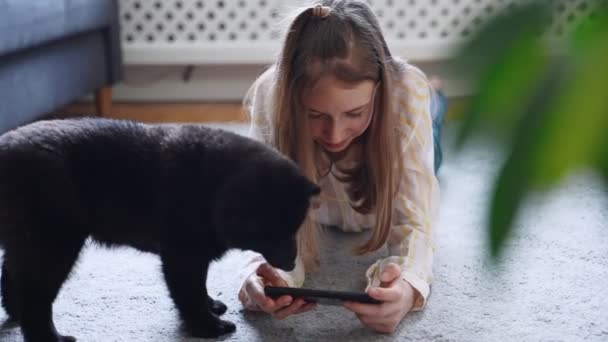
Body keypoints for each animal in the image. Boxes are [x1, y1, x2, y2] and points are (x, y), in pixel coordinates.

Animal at [0, 116, 316, 340]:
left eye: (294, 228)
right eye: (272, 231)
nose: (291, 263)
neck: (209, 188)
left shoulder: (194, 256)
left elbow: (199, 288)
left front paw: (210, 306)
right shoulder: (182, 255)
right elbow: (189, 294)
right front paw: (207, 326)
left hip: (29, 242)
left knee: (12, 277)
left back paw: (15, 314)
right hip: (53, 245)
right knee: (35, 295)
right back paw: (49, 337)